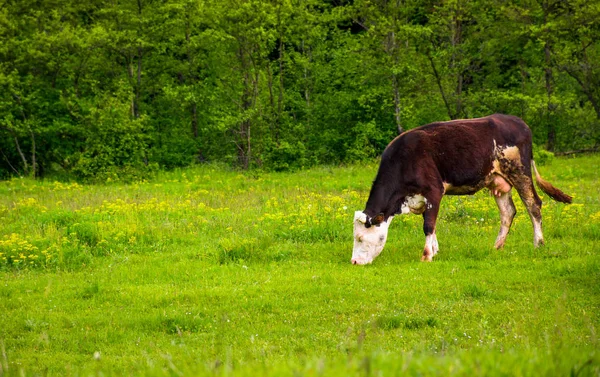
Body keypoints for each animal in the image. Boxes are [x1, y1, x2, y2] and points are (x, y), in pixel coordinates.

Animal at [352, 114, 572, 264]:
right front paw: (435, 250)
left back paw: (538, 244)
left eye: (360, 238)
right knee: (508, 212)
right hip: (498, 180)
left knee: (533, 205)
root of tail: (518, 121)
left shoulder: (434, 190)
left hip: (519, 171)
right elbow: (431, 224)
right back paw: (497, 246)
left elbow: (428, 225)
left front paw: (426, 255)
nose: (354, 262)